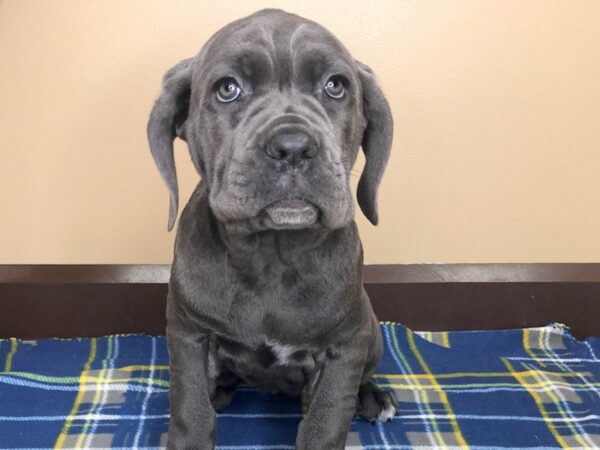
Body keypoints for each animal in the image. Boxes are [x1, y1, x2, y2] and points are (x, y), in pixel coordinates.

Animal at [148, 7, 396, 450]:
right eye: (228, 89)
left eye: (336, 86)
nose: (293, 146)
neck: (271, 255)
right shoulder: (189, 334)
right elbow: (190, 409)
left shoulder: (344, 348)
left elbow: (326, 420)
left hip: (370, 331)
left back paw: (372, 397)